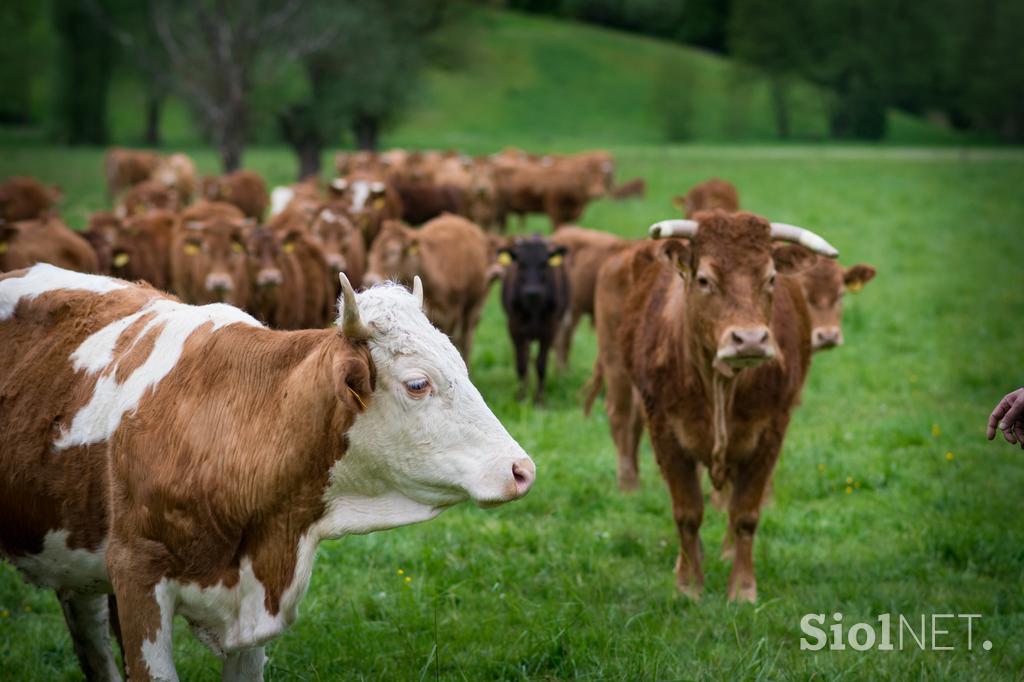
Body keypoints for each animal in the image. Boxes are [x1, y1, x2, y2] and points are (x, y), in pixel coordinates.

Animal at [364, 214, 491, 358]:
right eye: (372, 251)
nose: (369, 279)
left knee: (466, 338)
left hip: (473, 304)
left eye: (393, 252)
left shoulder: (452, 313)